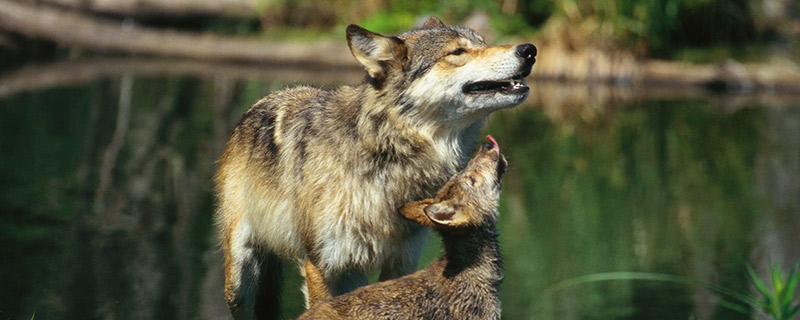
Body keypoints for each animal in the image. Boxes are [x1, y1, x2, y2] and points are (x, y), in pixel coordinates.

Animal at [216, 16, 536, 318]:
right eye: (457, 52)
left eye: (483, 42)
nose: (529, 50)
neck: (387, 155)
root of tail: (265, 99)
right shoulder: (322, 265)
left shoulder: (402, 261)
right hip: (241, 278)